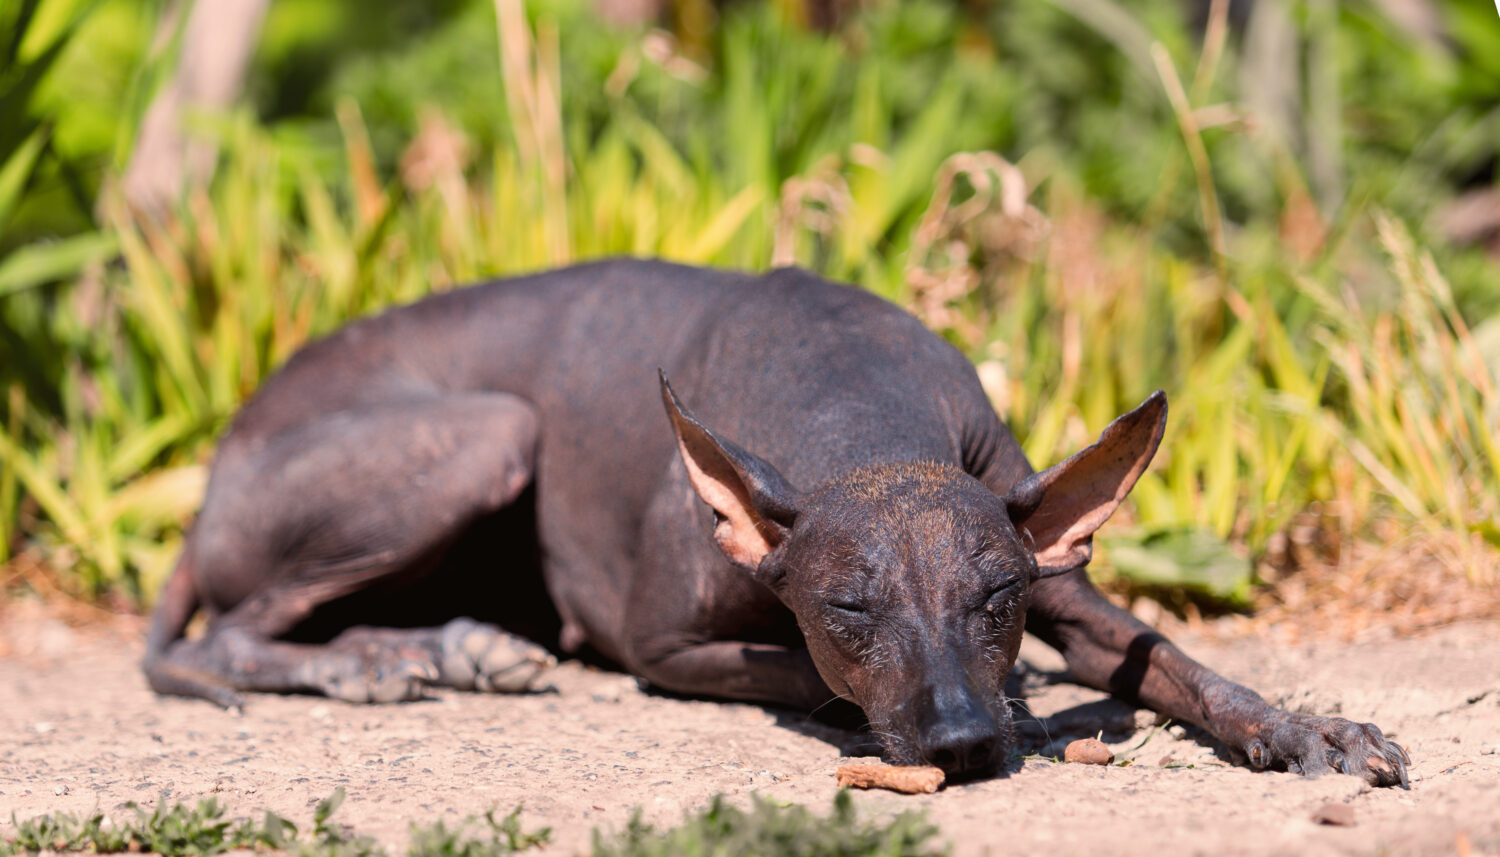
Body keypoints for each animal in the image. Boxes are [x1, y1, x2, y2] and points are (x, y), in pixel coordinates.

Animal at [141, 258, 1404, 786]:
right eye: (847, 607)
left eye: (996, 596)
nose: (960, 741)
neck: (850, 398)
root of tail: (207, 482)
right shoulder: (661, 645)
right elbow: (803, 674)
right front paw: (1018, 704)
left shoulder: (1058, 573)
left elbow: (1181, 659)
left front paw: (1308, 728)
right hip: (487, 431)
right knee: (232, 631)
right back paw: (382, 660)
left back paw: (445, 645)